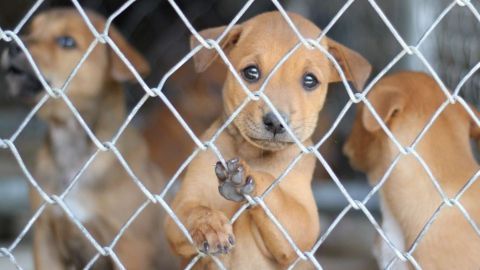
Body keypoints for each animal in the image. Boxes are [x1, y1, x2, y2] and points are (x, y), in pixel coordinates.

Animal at [0, 7, 177, 270]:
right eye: (30, 30)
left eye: (66, 41)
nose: (12, 46)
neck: (70, 142)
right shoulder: (45, 237)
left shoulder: (129, 246)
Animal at [165, 11, 372, 270]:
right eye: (251, 72)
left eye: (310, 80)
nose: (275, 122)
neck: (253, 153)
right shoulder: (180, 209)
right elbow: (194, 210)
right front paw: (209, 224)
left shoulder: (304, 228)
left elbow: (273, 188)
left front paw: (244, 177)